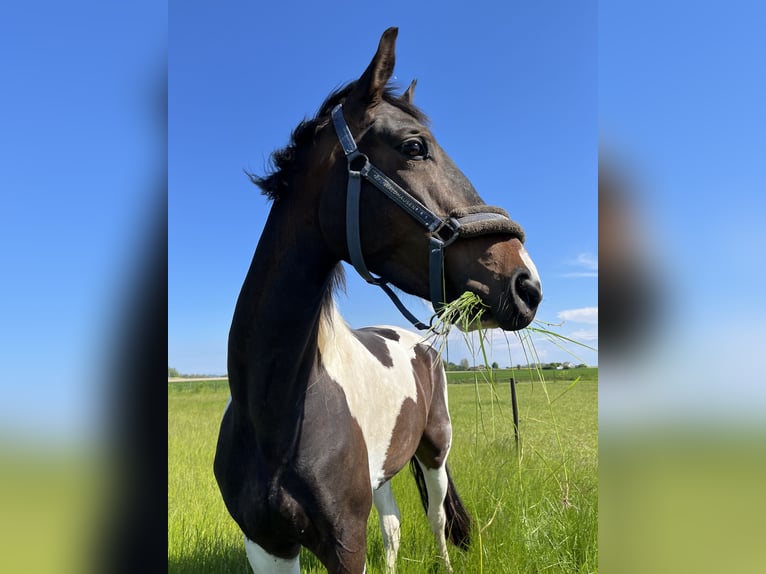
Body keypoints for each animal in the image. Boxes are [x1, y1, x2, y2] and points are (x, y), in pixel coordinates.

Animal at [213, 28, 544, 574]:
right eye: (414, 146)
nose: (527, 282)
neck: (272, 414)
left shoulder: (345, 542)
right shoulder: (265, 543)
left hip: (435, 453)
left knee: (435, 518)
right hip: (386, 471)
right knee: (392, 526)